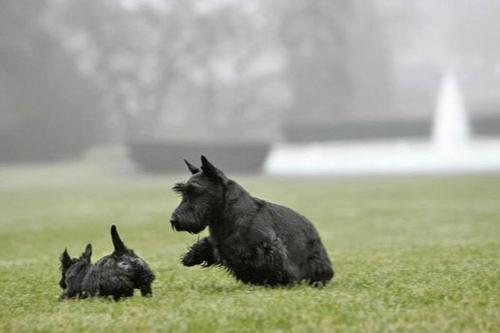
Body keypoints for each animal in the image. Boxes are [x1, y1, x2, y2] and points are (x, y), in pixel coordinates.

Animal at [170, 156, 334, 286]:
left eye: (196, 191)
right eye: (183, 192)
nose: (174, 220)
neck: (225, 215)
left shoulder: (268, 248)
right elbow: (205, 244)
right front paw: (191, 257)